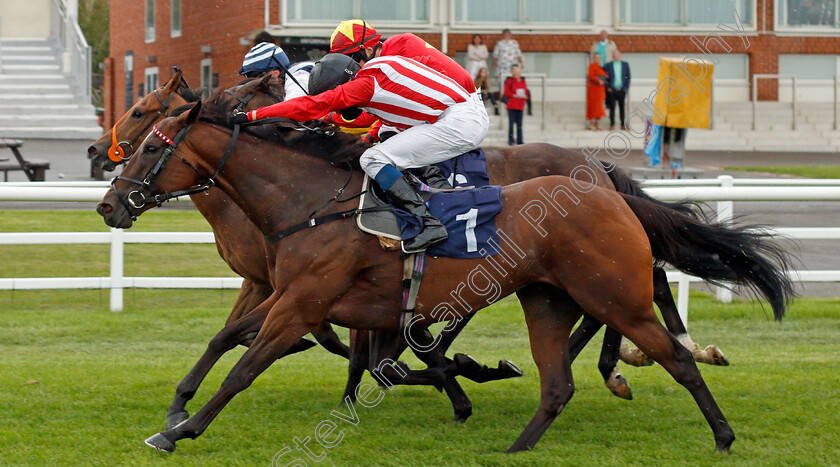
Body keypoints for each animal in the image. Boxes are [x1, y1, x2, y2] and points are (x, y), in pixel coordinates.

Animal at [95, 98, 792, 454]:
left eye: (152, 141)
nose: (108, 203)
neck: (310, 205)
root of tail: (604, 183)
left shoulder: (300, 301)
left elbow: (244, 365)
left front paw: (180, 429)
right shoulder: (294, 295)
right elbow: (244, 344)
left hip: (611, 293)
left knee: (672, 351)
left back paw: (715, 427)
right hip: (551, 298)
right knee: (562, 377)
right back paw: (522, 439)